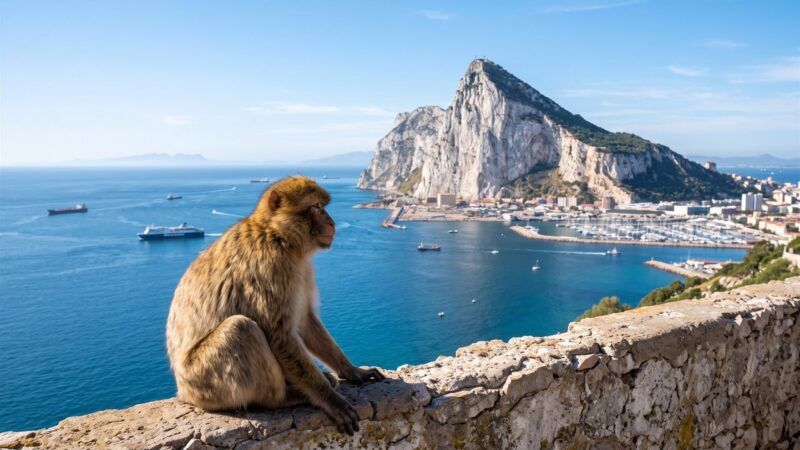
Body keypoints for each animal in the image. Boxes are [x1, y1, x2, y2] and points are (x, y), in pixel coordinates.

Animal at [165, 176, 384, 435]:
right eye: (317, 206)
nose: (332, 222)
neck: (278, 235)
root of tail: (184, 392)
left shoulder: (301, 269)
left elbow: (305, 322)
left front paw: (353, 371)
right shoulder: (272, 267)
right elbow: (280, 336)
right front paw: (331, 400)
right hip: (204, 381)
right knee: (241, 328)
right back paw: (285, 398)